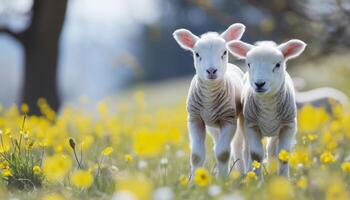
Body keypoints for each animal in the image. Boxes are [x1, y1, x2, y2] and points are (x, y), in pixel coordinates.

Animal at [173, 23, 246, 178]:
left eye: (224, 52)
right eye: (197, 54)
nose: (211, 71)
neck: (209, 99)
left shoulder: (228, 119)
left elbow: (223, 153)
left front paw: (223, 180)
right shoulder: (195, 119)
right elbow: (196, 155)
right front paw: (194, 180)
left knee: (237, 147)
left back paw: (243, 173)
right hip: (213, 126)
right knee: (217, 144)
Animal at [227, 39, 306, 177]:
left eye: (278, 65)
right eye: (249, 64)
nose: (259, 84)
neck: (268, 107)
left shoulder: (288, 126)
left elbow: (283, 153)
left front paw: (283, 179)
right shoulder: (251, 126)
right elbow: (256, 154)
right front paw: (257, 178)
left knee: (271, 149)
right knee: (245, 150)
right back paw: (247, 173)